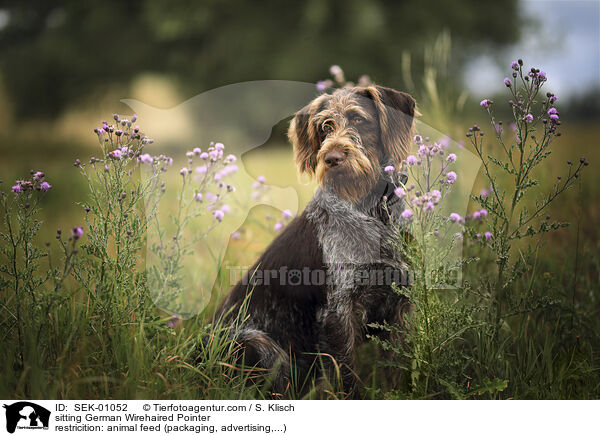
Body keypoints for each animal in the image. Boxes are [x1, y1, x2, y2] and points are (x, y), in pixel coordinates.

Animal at [216, 84, 418, 396]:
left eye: (358, 119)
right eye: (325, 127)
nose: (331, 158)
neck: (372, 210)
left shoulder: (399, 304)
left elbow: (394, 373)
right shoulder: (338, 312)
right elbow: (348, 379)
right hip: (256, 343)